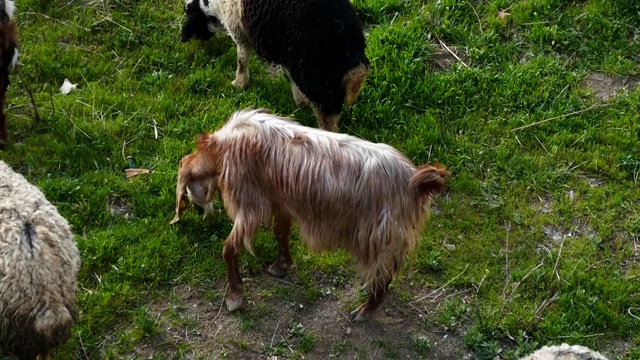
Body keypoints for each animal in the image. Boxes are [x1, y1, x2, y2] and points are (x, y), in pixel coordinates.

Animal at [170, 109, 450, 320]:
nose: (200, 211)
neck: (220, 149)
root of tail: (414, 181)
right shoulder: (280, 200)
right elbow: (281, 233)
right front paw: (282, 265)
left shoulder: (250, 203)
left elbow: (229, 249)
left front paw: (235, 297)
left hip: (377, 234)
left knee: (385, 273)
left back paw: (365, 310)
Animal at [180, 0, 370, 132]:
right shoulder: (285, 52)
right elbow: (289, 76)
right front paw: (300, 101)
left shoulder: (239, 32)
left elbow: (242, 58)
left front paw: (239, 83)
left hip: (314, 71)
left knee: (327, 114)